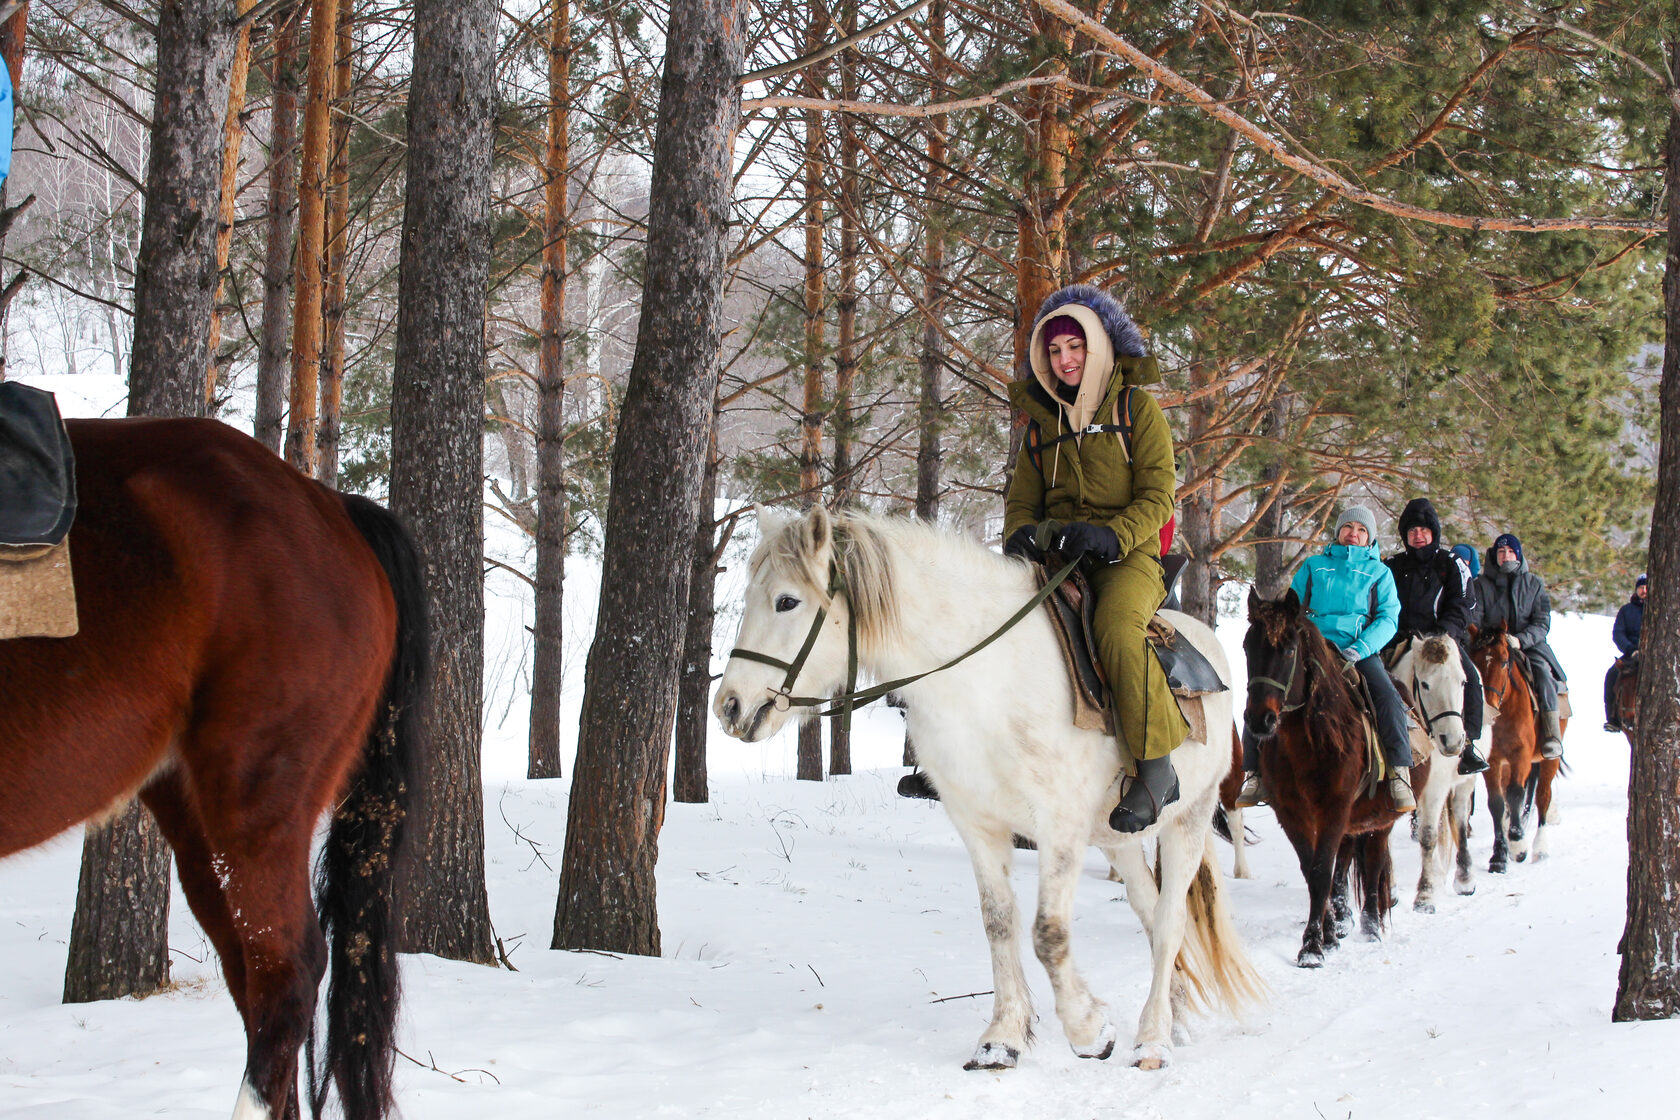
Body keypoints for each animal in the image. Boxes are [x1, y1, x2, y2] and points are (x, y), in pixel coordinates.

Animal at [712, 507, 1263, 1067]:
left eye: (786, 601)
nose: (729, 706)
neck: (987, 681)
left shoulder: (1060, 829)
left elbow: (1049, 934)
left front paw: (1090, 1030)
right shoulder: (978, 824)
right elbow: (999, 922)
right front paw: (1003, 1037)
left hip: (1187, 819)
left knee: (1171, 922)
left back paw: (1152, 1039)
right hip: (1118, 839)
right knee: (1151, 913)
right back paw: (1174, 1017)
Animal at [1236, 591, 1431, 967]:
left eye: (1289, 650)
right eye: (1247, 647)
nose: (1259, 720)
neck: (1309, 742)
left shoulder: (1335, 807)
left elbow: (1321, 871)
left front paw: (1312, 946)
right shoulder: (1292, 813)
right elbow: (1313, 869)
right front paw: (1326, 935)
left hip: (1379, 820)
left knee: (1373, 863)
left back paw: (1371, 926)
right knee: (1346, 862)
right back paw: (1343, 922)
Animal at [1391, 634, 1471, 906]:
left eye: (1463, 681)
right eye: (1425, 684)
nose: (1453, 741)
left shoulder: (1436, 786)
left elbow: (1428, 836)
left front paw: (1425, 896)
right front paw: (1391, 890)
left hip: (1465, 783)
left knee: (1459, 818)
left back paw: (1464, 880)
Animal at [1471, 628, 1559, 873]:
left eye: (1503, 662)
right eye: (1474, 661)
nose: (1487, 707)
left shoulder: (1521, 756)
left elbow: (1516, 793)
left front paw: (1518, 845)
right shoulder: (1492, 762)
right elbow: (1497, 803)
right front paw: (1499, 856)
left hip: (1549, 760)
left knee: (1543, 796)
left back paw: (1540, 848)